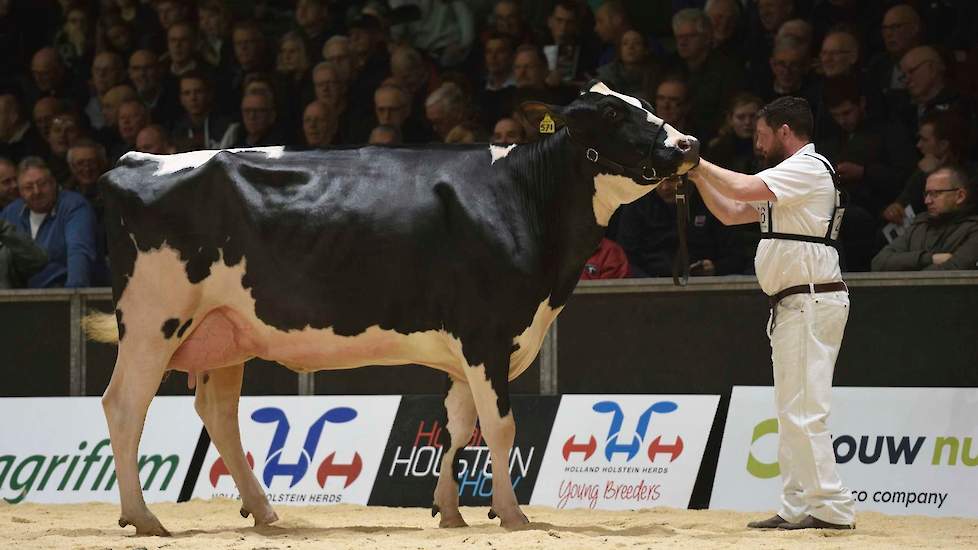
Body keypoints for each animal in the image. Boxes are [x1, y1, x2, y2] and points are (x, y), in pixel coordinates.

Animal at [89, 82, 692, 536]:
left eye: (643, 101)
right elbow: (501, 427)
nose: (687, 143)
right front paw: (513, 514)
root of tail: (134, 159)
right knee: (124, 405)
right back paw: (143, 517)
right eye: (613, 112)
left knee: (219, 415)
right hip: (153, 320)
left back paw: (262, 512)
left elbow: (457, 426)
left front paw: (449, 512)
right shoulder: (487, 334)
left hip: (226, 332)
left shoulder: (465, 347)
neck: (521, 196)